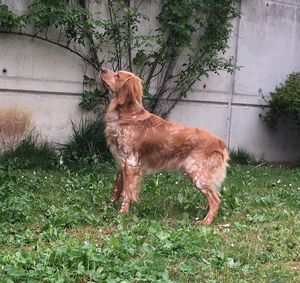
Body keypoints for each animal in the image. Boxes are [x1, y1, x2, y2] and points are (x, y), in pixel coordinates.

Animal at [99, 67, 229, 225]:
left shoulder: (130, 163)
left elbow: (126, 192)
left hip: (197, 174)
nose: (102, 69)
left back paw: (205, 222)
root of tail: (221, 142)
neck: (128, 113)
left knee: (215, 199)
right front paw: (108, 206)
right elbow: (117, 188)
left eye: (117, 75)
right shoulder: (122, 163)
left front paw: (122, 214)